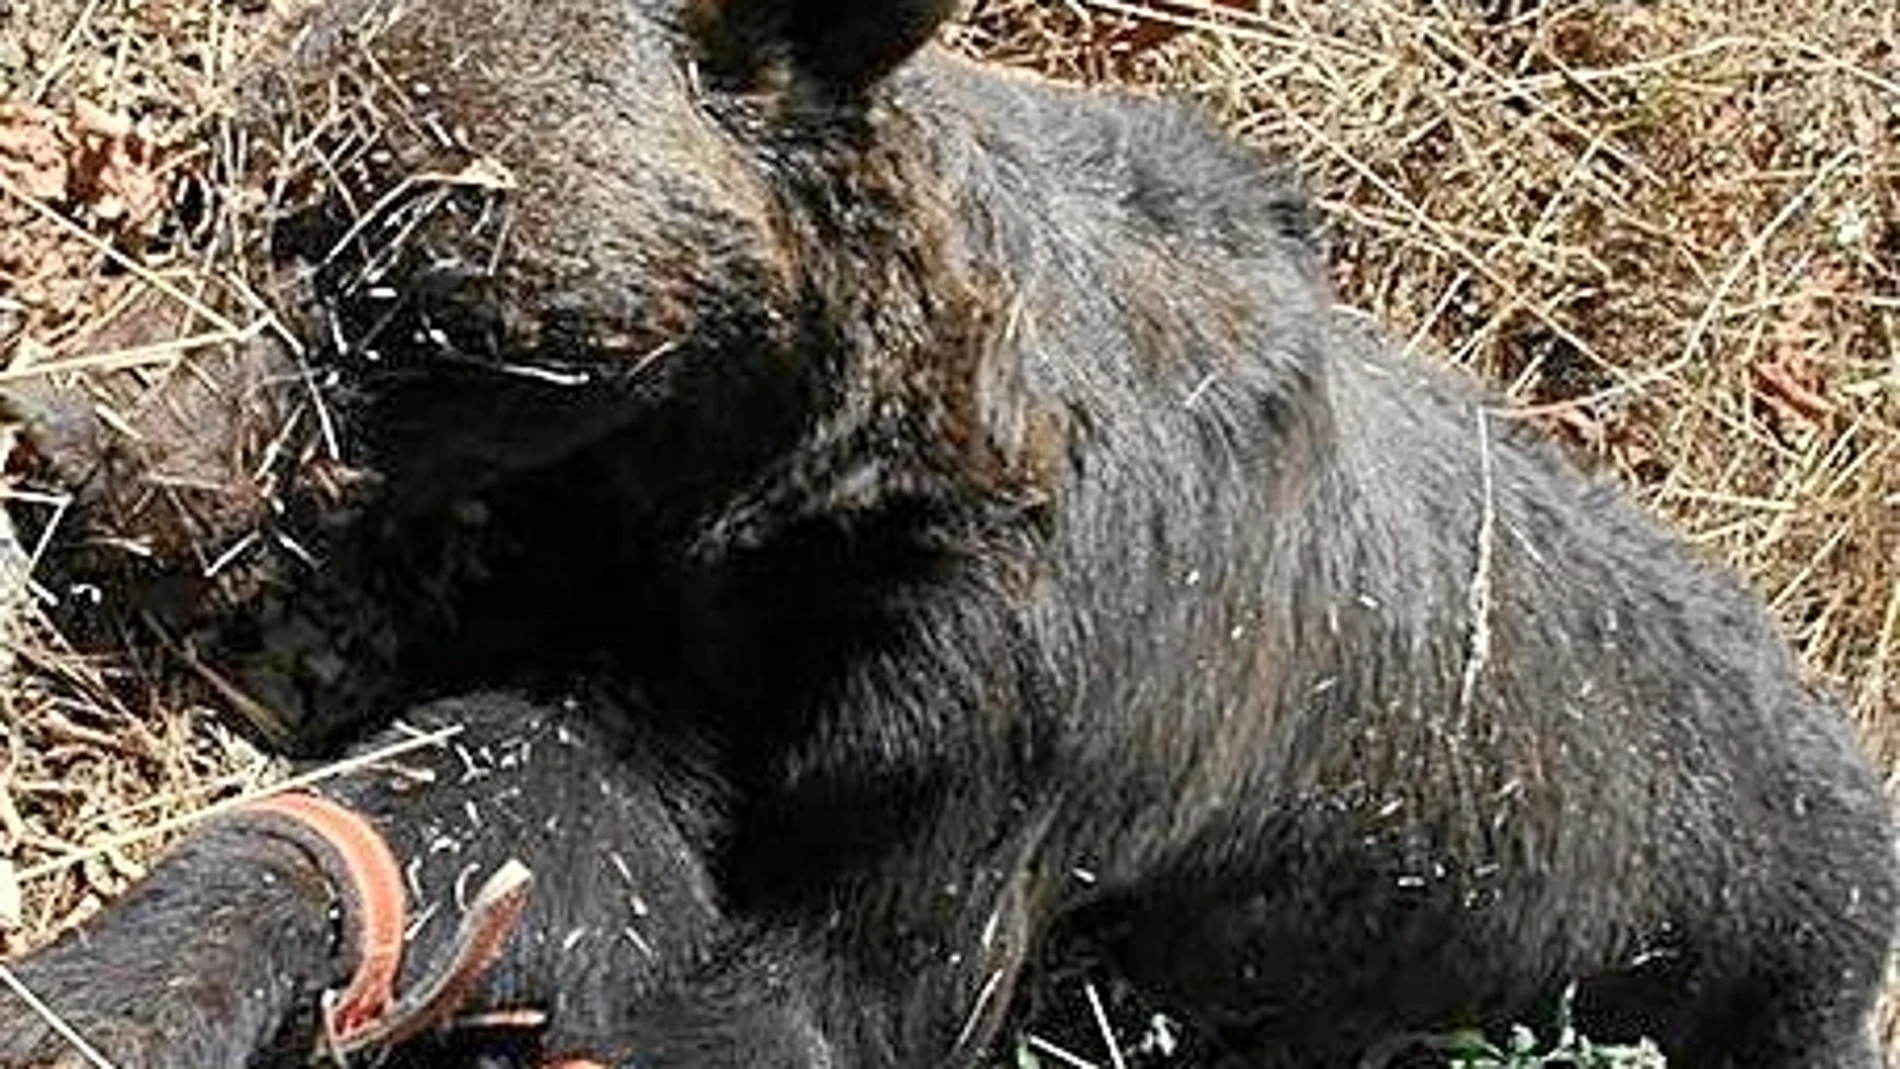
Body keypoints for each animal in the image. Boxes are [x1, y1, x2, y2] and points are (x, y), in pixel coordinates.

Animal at [0, 0, 1893, 1066]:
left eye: (389, 255)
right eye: (227, 165)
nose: (66, 432)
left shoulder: (991, 759)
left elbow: (832, 985)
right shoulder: (659, 653)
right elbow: (436, 824)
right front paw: (94, 996)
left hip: (1775, 968)